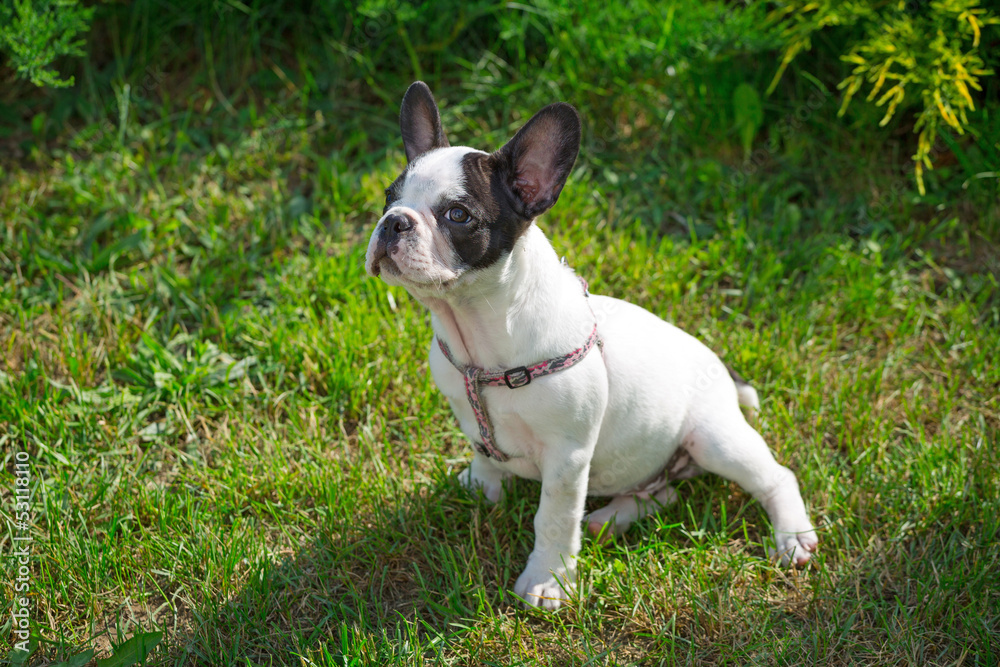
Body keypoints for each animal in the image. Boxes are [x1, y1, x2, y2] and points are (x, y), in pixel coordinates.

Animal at [364, 82, 816, 612]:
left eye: (458, 215)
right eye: (389, 197)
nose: (394, 222)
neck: (476, 330)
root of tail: (723, 373)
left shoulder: (568, 456)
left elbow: (554, 518)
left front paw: (547, 581)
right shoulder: (466, 410)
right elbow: (484, 453)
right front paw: (481, 488)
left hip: (714, 439)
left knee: (775, 476)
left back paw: (791, 536)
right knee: (663, 495)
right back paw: (609, 520)